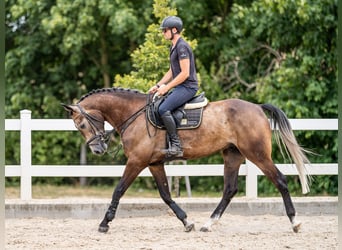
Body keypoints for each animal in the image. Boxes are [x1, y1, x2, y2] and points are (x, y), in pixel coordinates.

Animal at [61, 87, 310, 233]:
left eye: (81, 124)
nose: (98, 149)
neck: (134, 114)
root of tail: (257, 107)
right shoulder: (154, 163)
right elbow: (165, 194)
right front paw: (186, 221)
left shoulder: (137, 161)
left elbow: (119, 190)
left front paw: (105, 223)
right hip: (232, 155)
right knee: (229, 189)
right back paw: (208, 223)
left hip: (257, 154)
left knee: (280, 180)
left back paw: (295, 222)